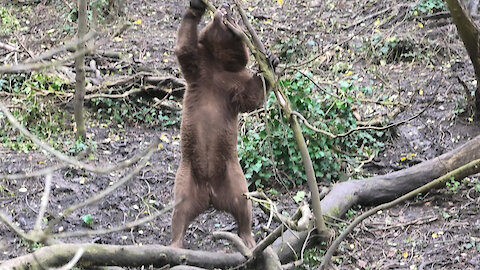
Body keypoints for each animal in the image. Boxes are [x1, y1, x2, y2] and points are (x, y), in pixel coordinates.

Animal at [172, 0, 278, 249]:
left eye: (235, 19)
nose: (227, 6)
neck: (217, 65)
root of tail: (210, 197)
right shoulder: (200, 71)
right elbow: (185, 48)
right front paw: (196, 6)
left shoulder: (232, 84)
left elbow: (252, 97)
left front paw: (270, 61)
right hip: (186, 177)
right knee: (179, 212)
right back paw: (174, 243)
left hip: (233, 177)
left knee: (243, 206)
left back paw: (248, 239)